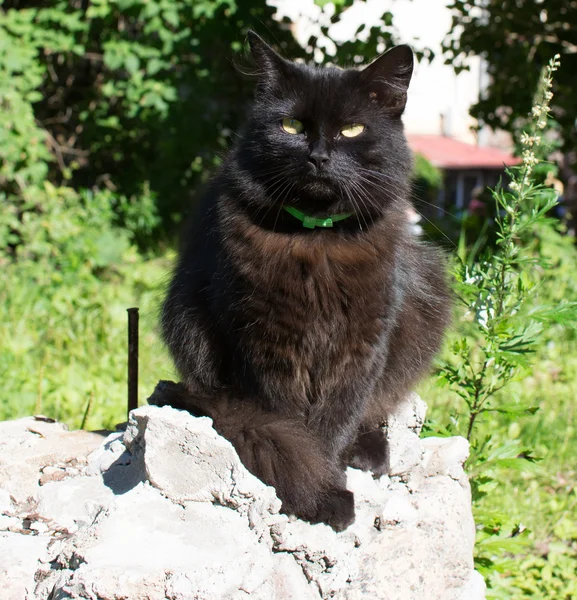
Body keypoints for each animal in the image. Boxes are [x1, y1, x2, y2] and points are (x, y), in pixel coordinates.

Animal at [156, 32, 450, 528]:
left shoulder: (362, 341)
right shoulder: (264, 342)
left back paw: (370, 452)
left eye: (352, 130)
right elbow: (290, 425)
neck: (317, 242)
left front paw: (330, 480)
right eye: (291, 125)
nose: (318, 157)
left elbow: (338, 418)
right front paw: (319, 494)